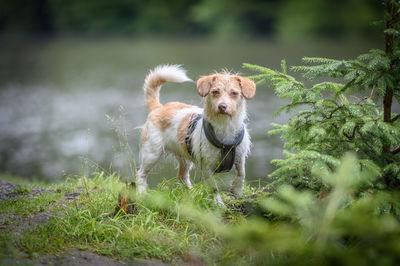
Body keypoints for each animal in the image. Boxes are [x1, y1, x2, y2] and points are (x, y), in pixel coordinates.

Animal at [138, 64, 256, 198]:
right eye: (215, 92)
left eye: (234, 93)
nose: (222, 106)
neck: (224, 125)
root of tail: (158, 108)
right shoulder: (206, 166)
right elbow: (213, 188)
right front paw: (218, 202)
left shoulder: (240, 158)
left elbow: (241, 174)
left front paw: (237, 191)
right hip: (152, 153)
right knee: (141, 174)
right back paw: (141, 192)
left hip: (184, 157)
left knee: (182, 177)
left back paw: (191, 193)